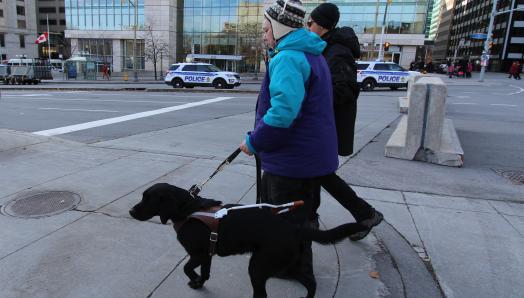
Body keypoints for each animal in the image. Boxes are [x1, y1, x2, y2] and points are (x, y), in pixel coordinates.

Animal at [129, 183, 366, 296]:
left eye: (149, 199)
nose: (131, 211)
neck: (187, 209)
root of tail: (293, 228)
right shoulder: (207, 255)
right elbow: (205, 273)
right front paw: (199, 283)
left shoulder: (197, 254)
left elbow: (186, 268)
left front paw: (194, 279)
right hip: (287, 262)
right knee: (310, 282)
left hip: (259, 266)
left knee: (262, 294)